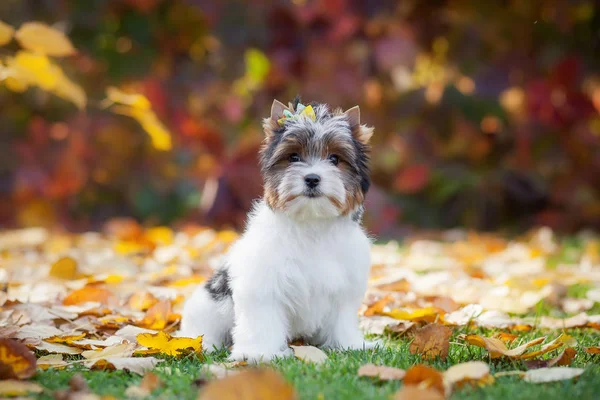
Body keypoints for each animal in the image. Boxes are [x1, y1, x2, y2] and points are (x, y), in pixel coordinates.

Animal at [179, 97, 376, 362]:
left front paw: (349, 345)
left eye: (335, 159)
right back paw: (204, 345)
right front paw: (258, 353)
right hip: (207, 304)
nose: (312, 178)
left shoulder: (344, 285)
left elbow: (341, 318)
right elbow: (262, 320)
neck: (311, 223)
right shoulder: (263, 285)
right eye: (293, 157)